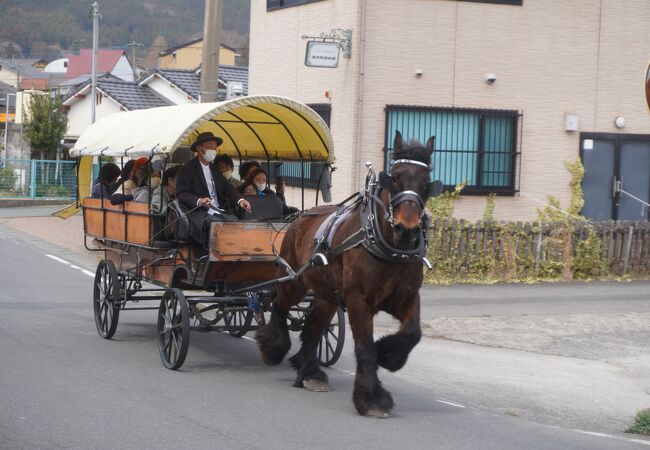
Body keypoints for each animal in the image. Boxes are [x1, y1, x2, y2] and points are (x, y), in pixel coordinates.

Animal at [256, 131, 438, 417]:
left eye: (426, 180)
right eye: (395, 176)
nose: (407, 229)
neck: (385, 245)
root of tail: (301, 217)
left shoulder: (407, 297)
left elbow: (412, 333)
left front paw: (388, 354)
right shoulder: (358, 300)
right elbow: (364, 347)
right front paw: (371, 398)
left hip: (326, 297)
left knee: (312, 330)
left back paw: (310, 374)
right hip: (295, 282)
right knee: (280, 305)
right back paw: (273, 348)